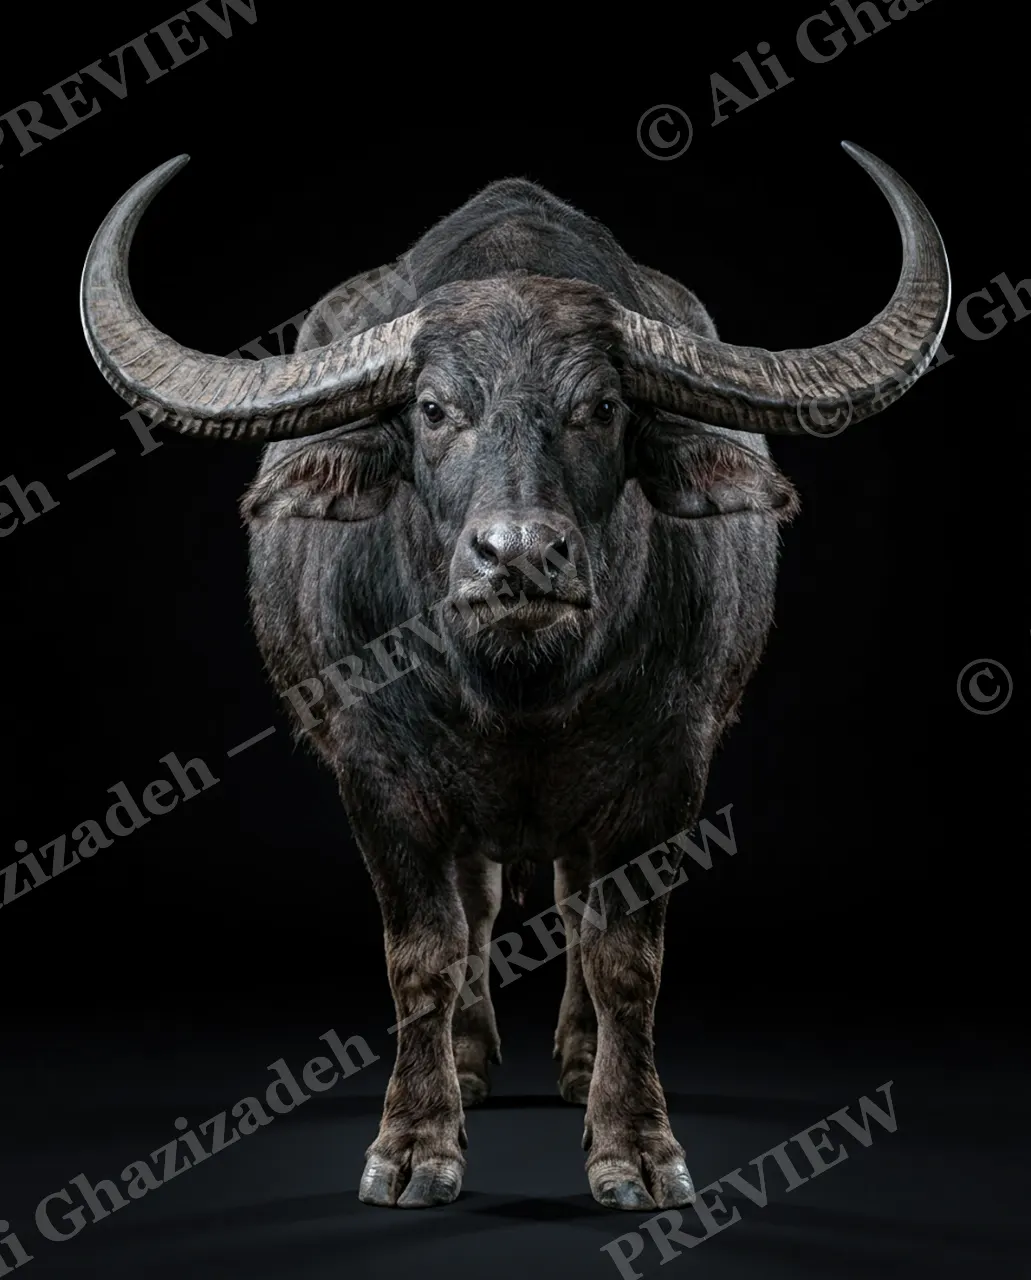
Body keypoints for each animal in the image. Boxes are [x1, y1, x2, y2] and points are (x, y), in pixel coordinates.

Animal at [80, 143, 949, 1210]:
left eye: (601, 408)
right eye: (432, 410)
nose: (519, 557)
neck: (518, 685)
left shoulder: (668, 771)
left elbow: (626, 958)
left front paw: (635, 1148)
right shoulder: (375, 774)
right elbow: (423, 955)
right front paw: (415, 1144)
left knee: (570, 904)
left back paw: (573, 1059)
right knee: (478, 911)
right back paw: (466, 1061)